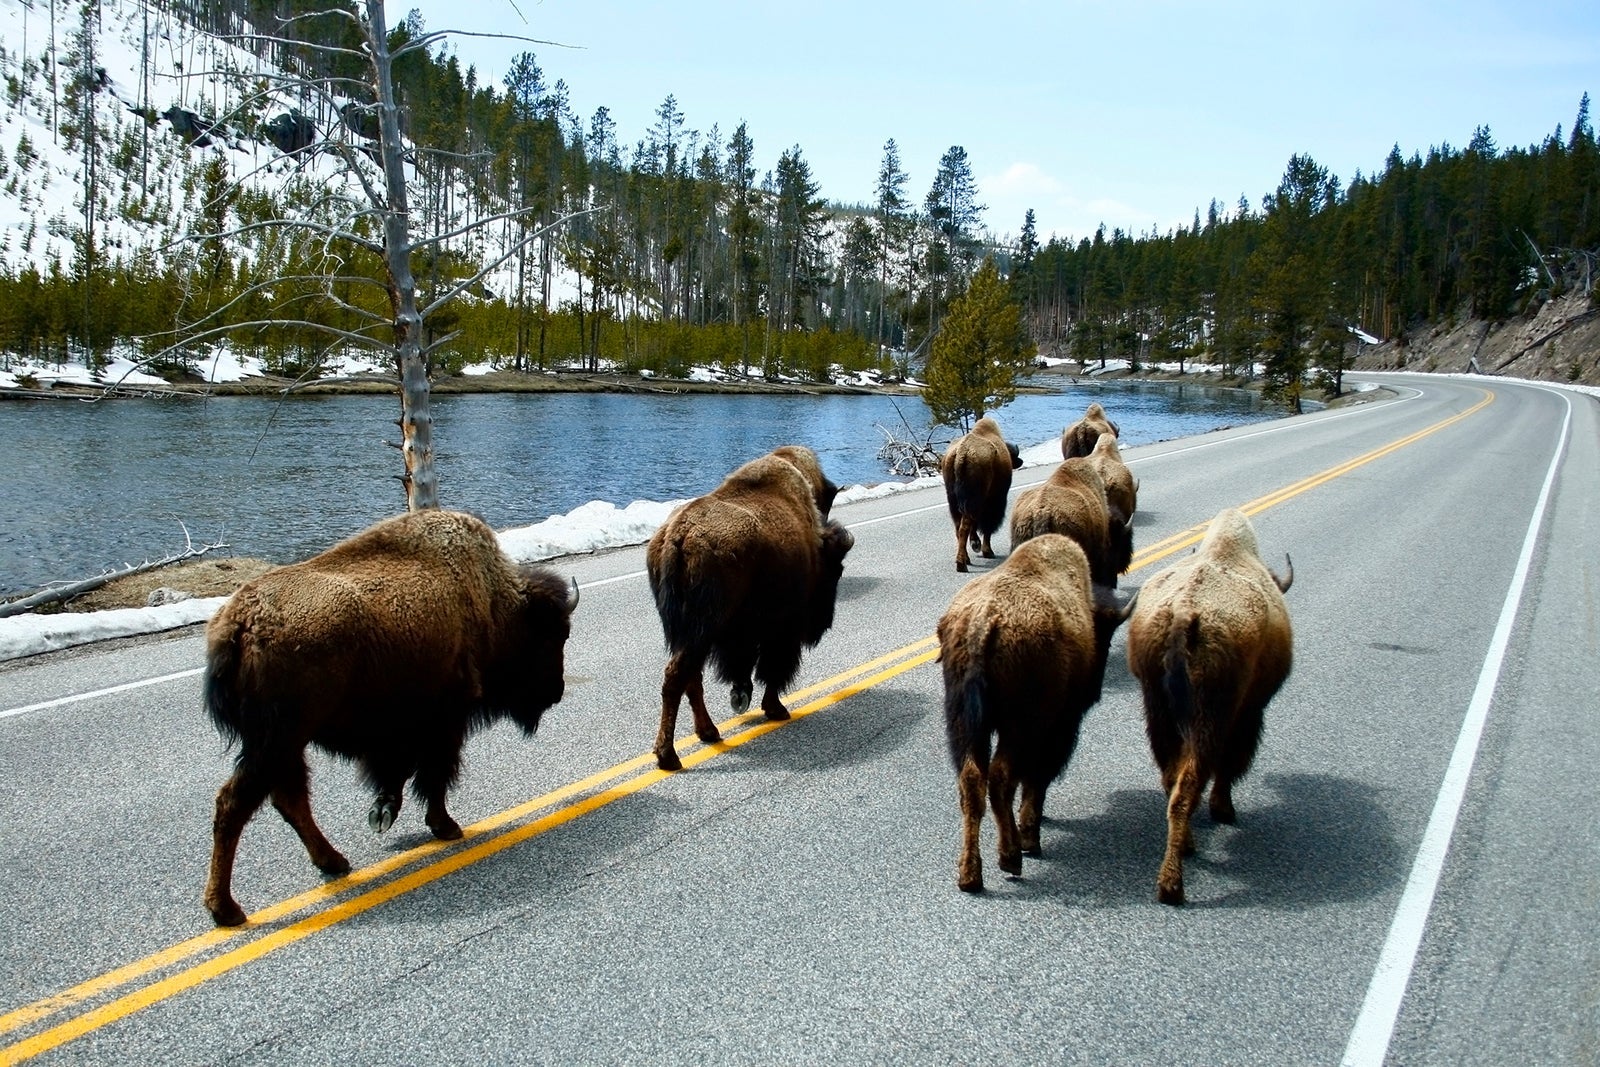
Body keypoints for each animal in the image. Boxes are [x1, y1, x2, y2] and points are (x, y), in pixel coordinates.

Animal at [201, 509, 578, 927]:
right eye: (554, 636)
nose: (556, 691)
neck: (492, 602)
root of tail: (240, 624)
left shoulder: (402, 730)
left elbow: (399, 772)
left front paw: (383, 813)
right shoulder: (446, 719)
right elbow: (434, 773)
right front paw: (445, 826)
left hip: (285, 745)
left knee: (289, 799)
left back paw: (333, 862)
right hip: (278, 741)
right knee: (235, 804)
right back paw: (226, 909)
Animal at [646, 445, 854, 771]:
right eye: (836, 570)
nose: (824, 623)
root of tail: (678, 536)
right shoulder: (784, 629)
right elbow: (774, 669)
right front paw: (776, 709)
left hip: (690, 634)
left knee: (691, 679)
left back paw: (708, 732)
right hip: (702, 631)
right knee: (677, 678)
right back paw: (669, 756)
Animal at [1125, 507, 1293, 905]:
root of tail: (1184, 614)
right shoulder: (1248, 714)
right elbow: (1232, 763)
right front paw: (1224, 810)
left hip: (1157, 711)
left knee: (1172, 778)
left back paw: (1183, 852)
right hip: (1208, 717)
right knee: (1189, 783)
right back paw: (1172, 884)